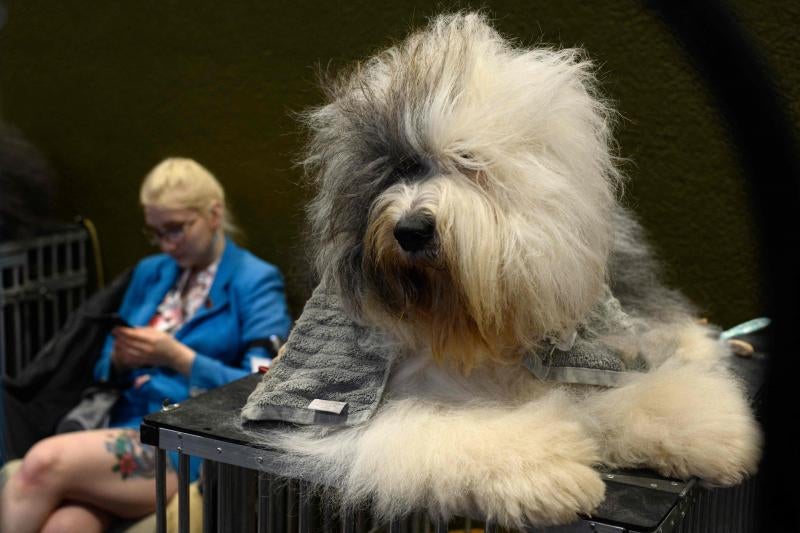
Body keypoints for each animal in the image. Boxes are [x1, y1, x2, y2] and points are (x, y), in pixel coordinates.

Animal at [252, 12, 764, 528]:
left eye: (467, 161)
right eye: (395, 171)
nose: (411, 229)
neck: (464, 323)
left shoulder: (581, 358)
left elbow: (625, 394)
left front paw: (715, 433)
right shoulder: (365, 414)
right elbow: (444, 430)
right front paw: (553, 472)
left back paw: (702, 347)